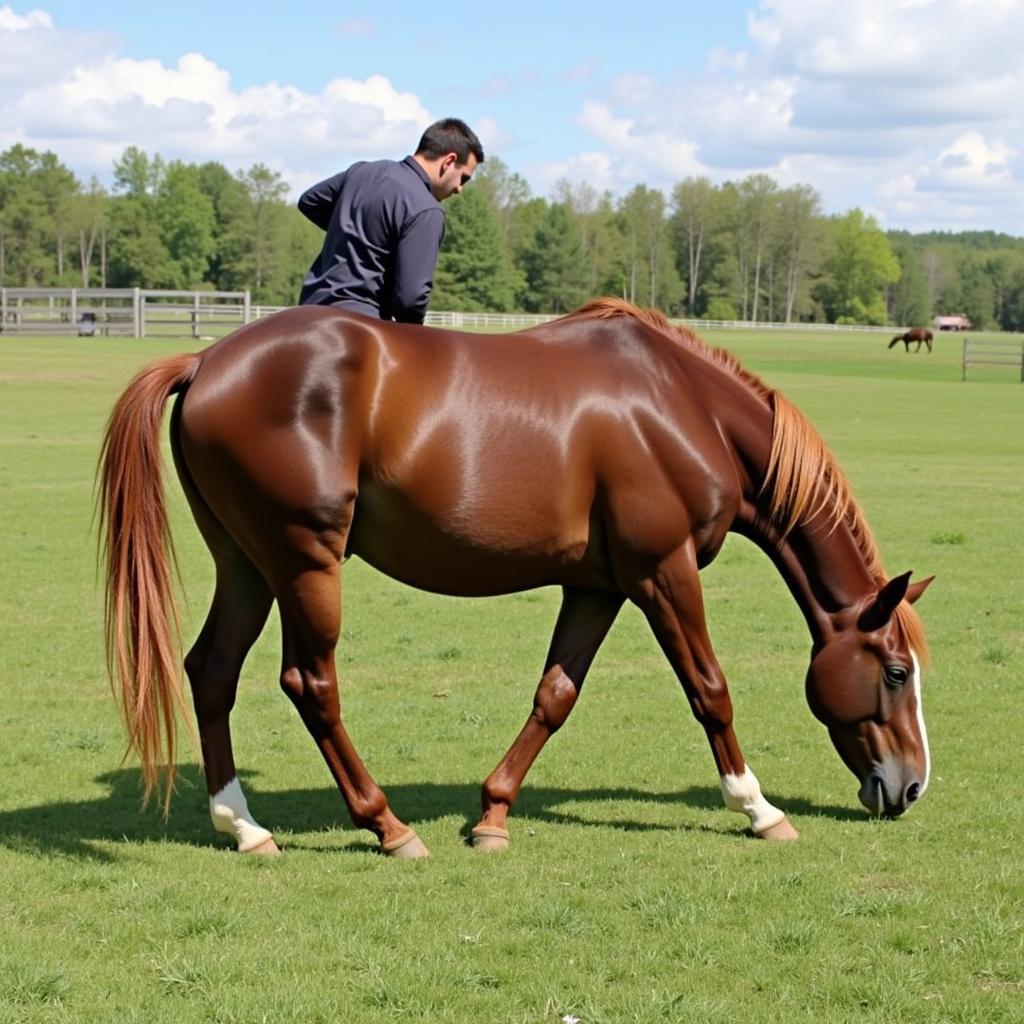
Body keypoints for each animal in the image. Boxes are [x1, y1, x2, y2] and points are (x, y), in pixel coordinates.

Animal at [99, 299, 933, 860]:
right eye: (895, 672)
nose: (913, 786)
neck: (682, 406)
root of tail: (206, 361)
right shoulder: (662, 573)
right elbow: (710, 690)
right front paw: (756, 807)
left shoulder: (600, 585)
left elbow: (555, 695)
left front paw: (493, 816)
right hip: (304, 561)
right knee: (310, 684)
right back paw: (386, 825)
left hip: (247, 565)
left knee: (212, 672)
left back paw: (243, 825)